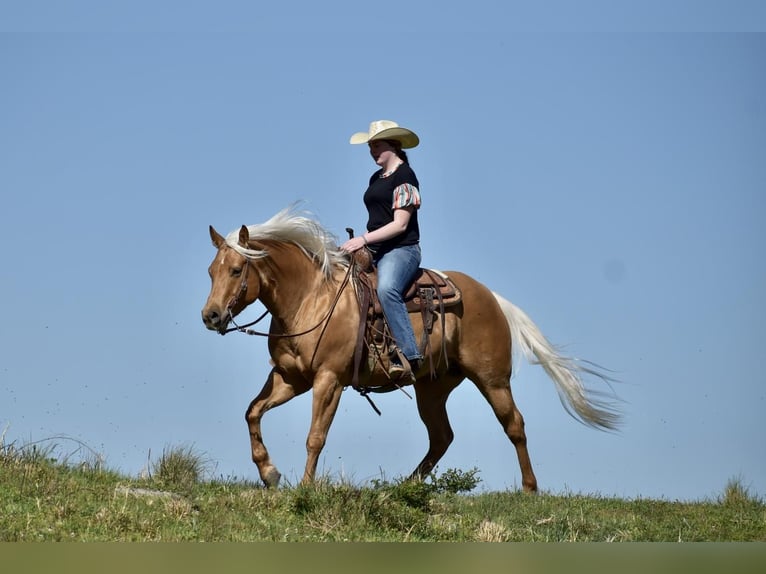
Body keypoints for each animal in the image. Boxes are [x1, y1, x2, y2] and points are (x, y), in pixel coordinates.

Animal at [201, 205, 620, 492]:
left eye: (236, 270)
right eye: (211, 271)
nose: (210, 315)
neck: (310, 299)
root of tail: (491, 297)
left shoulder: (329, 380)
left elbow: (315, 436)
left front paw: (304, 488)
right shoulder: (290, 378)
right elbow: (252, 412)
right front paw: (269, 472)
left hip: (492, 379)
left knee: (513, 424)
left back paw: (530, 489)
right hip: (432, 387)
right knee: (442, 436)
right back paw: (406, 485)